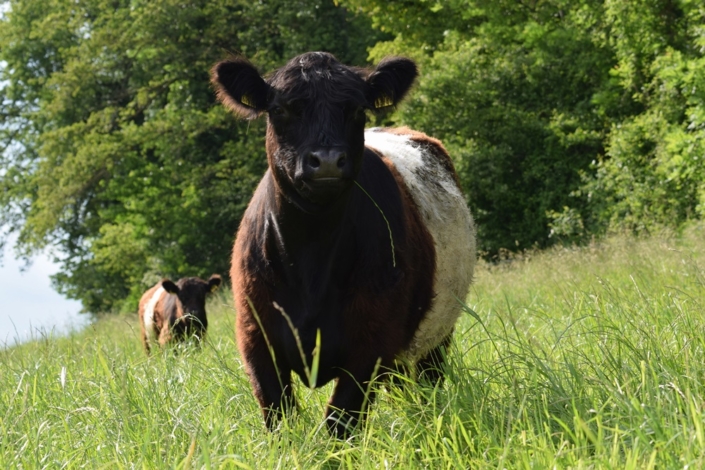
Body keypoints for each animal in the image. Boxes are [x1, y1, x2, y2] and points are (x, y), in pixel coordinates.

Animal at [208, 51, 472, 436]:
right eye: (281, 108)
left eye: (357, 109)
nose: (328, 161)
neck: (311, 261)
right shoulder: (256, 339)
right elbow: (280, 418)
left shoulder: (371, 342)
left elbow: (340, 421)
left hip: (436, 336)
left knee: (426, 382)